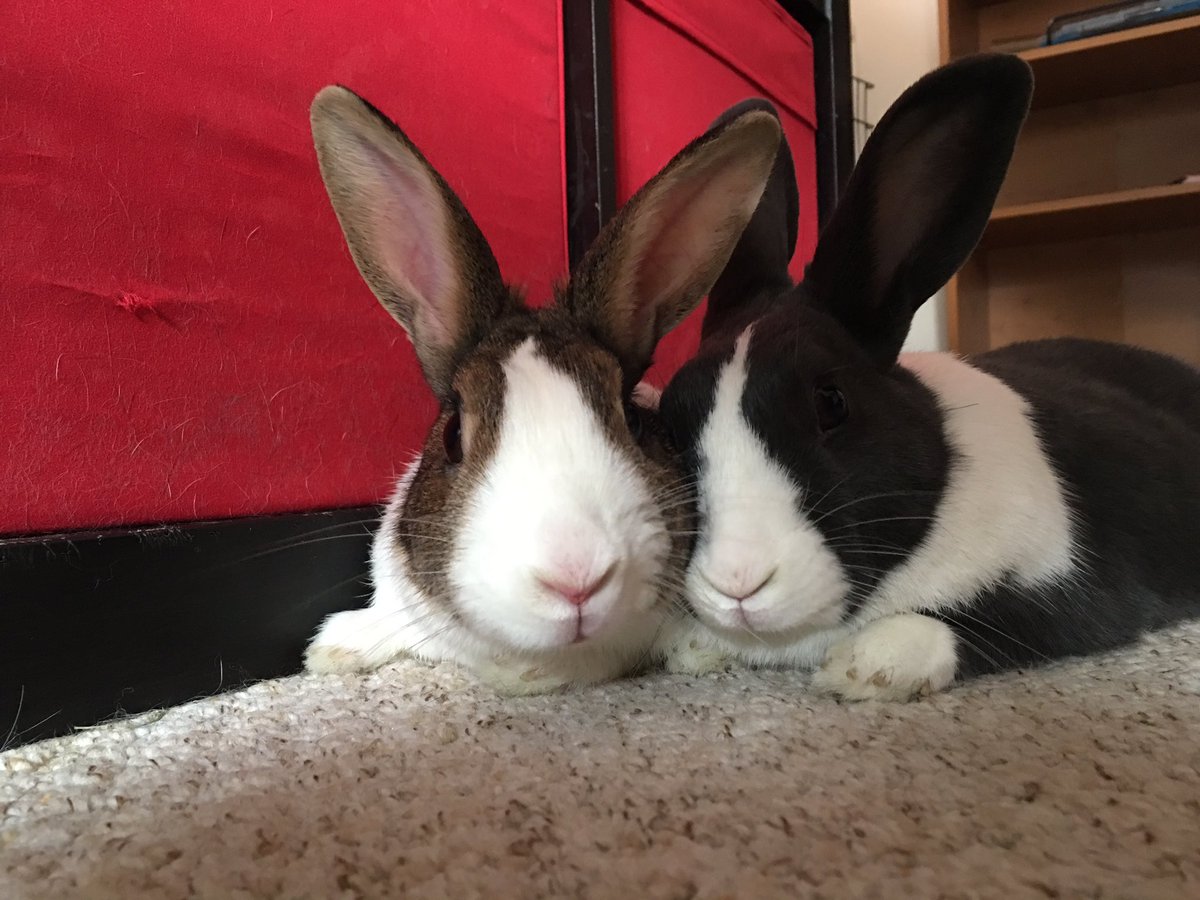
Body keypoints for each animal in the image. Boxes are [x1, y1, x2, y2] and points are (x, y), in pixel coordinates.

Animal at [656, 54, 1200, 702]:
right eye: (671, 421)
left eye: (831, 402)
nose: (737, 582)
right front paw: (693, 645)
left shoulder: (1078, 589)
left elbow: (991, 621)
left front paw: (866, 664)